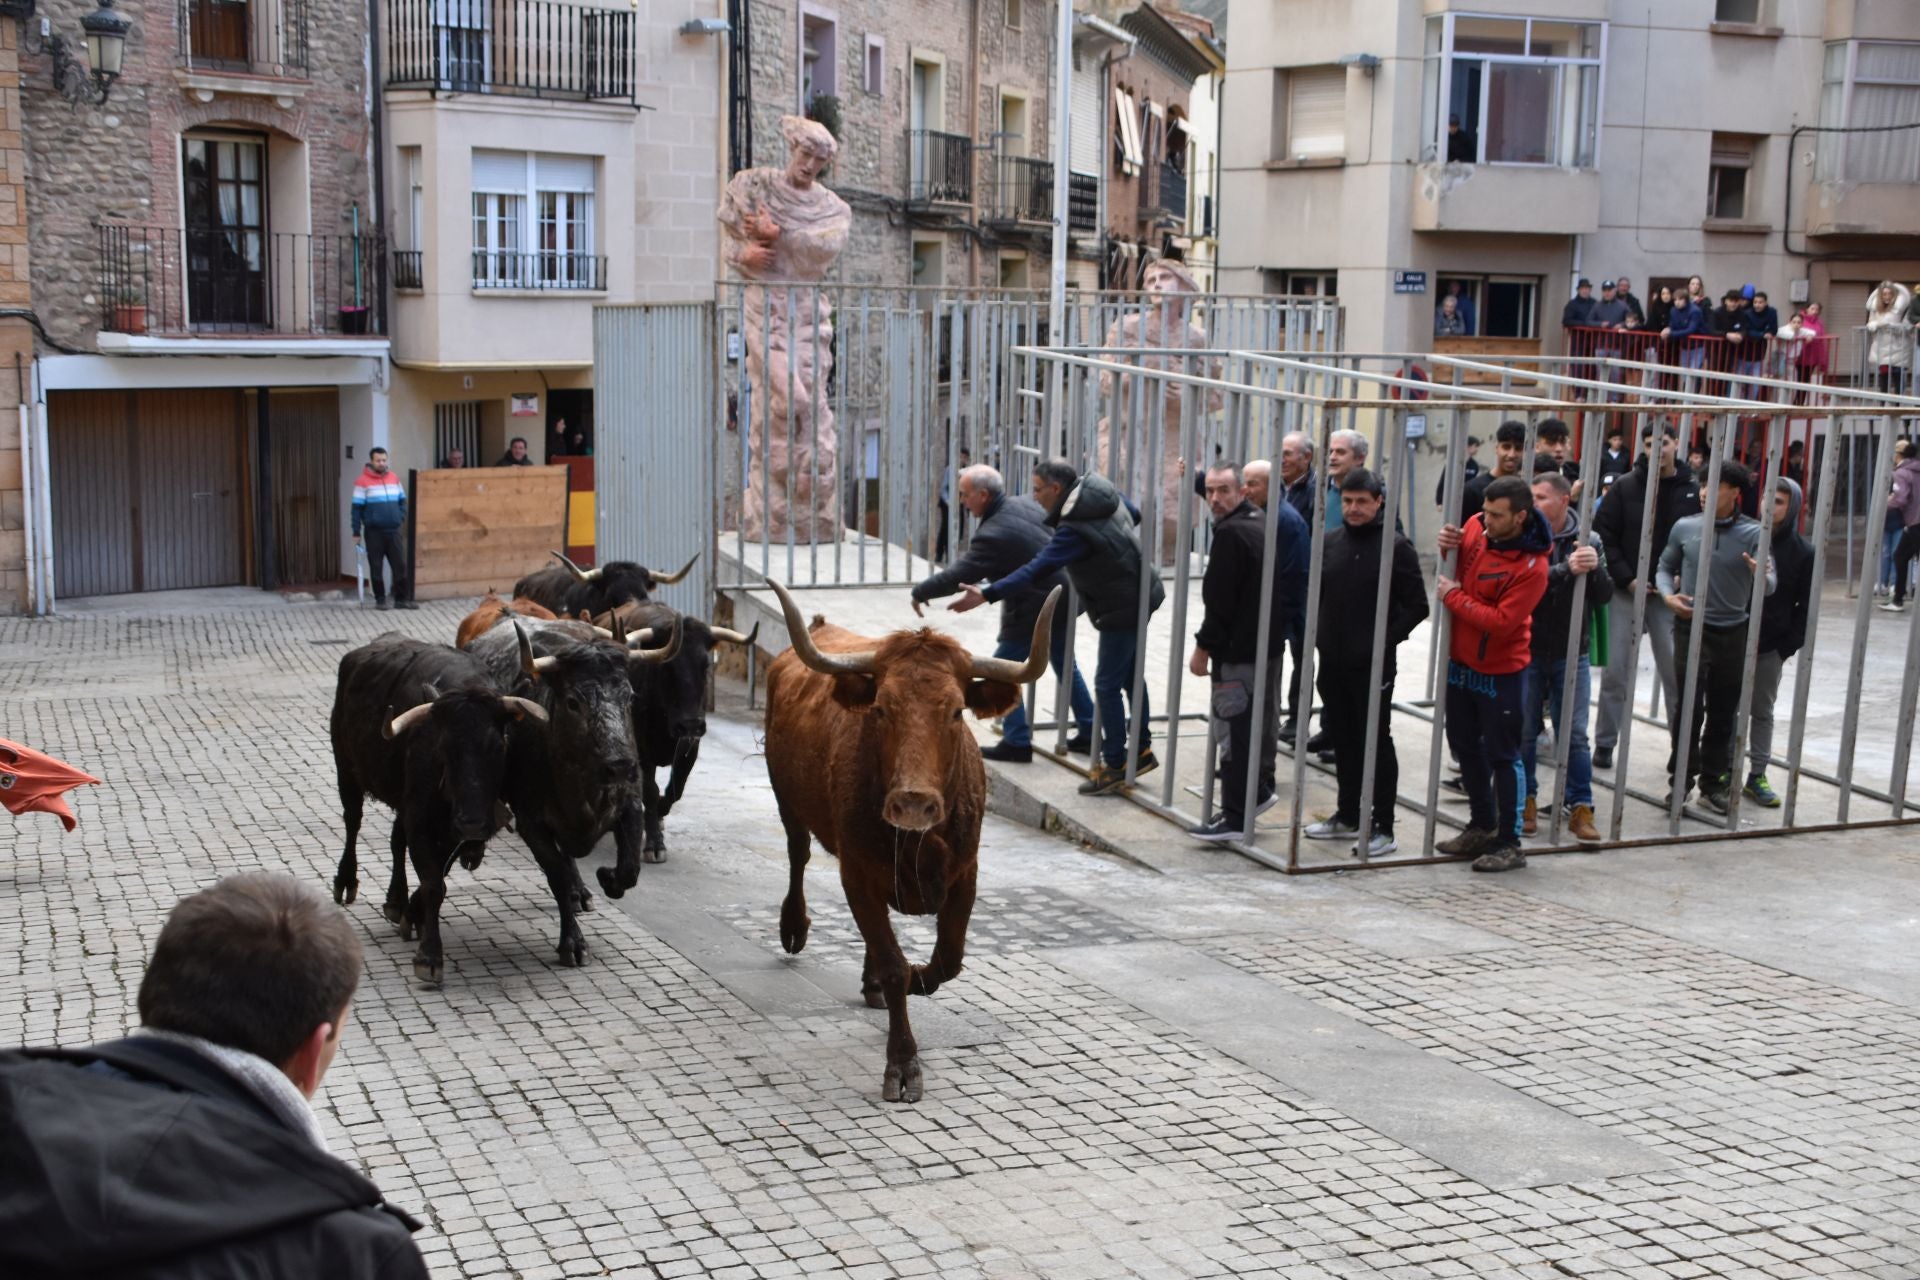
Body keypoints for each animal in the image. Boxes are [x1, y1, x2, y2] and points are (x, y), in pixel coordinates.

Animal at [764, 579, 1067, 1105]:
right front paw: (903, 1064)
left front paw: (916, 980)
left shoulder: (966, 875)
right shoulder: (857, 874)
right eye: (882, 708)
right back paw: (794, 927)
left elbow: (947, 959)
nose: (913, 802)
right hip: (787, 802)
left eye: (957, 710)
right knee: (797, 855)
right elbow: (893, 962)